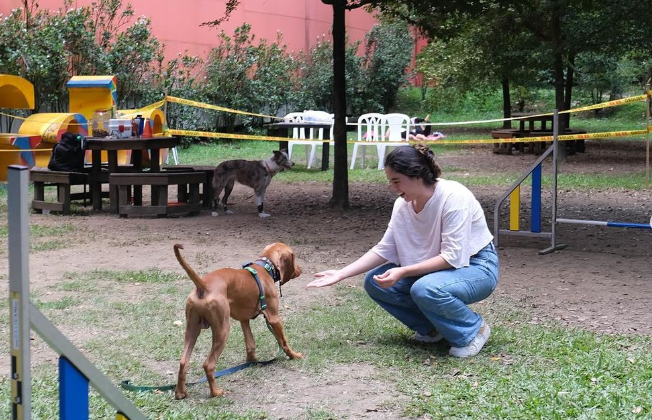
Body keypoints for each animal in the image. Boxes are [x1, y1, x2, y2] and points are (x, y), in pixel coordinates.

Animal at [174, 241, 304, 398]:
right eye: (295, 257)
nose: (301, 269)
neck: (264, 267)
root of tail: (203, 285)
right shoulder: (274, 318)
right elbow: (284, 341)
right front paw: (294, 355)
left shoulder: (244, 320)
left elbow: (250, 343)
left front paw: (252, 361)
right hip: (222, 330)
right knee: (208, 364)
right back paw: (216, 392)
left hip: (191, 330)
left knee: (183, 362)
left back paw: (180, 393)